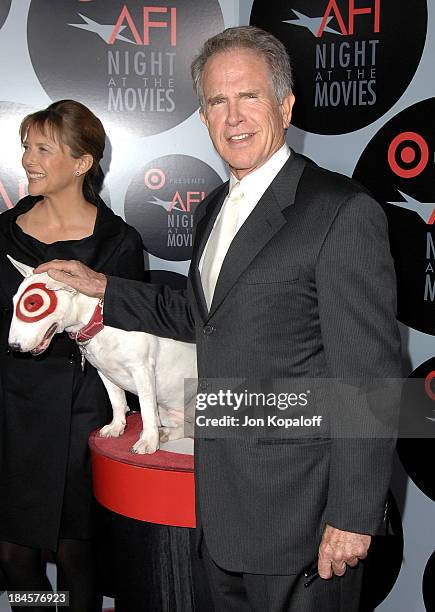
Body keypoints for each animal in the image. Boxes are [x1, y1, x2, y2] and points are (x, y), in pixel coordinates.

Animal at [7, 255, 198, 454]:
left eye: (32, 303)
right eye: (14, 302)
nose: (13, 347)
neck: (98, 320)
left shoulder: (142, 370)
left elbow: (146, 408)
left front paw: (148, 441)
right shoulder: (105, 372)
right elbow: (116, 400)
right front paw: (117, 427)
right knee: (186, 427)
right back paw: (165, 433)